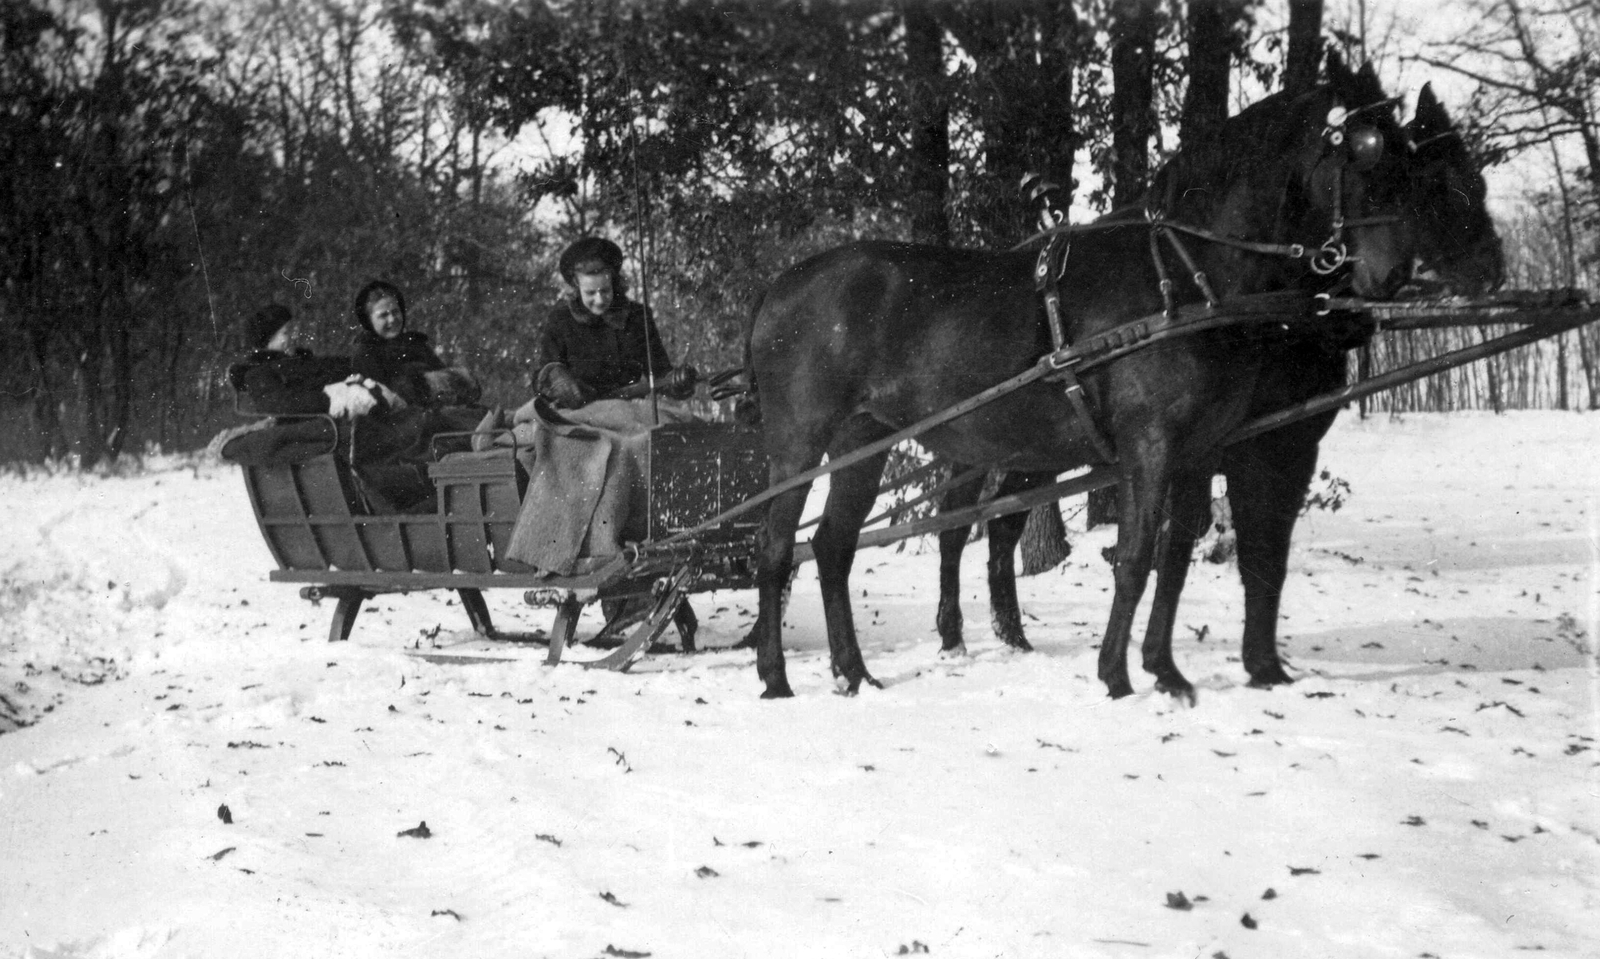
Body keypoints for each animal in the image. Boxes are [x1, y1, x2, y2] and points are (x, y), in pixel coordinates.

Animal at [745, 63, 1427, 701]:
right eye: (1365, 150)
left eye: (1406, 152)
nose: (1395, 274)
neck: (1186, 278)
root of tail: (779, 288)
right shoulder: (1150, 444)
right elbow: (1135, 556)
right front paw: (1116, 676)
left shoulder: (1197, 449)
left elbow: (1174, 561)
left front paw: (1165, 671)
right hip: (800, 443)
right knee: (777, 548)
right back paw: (775, 677)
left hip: (865, 441)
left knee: (832, 547)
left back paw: (854, 673)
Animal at [934, 80, 1504, 682]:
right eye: (1430, 182)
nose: (1491, 268)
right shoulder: (1250, 445)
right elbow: (1234, 547)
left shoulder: (1261, 442)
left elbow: (1250, 552)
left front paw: (1257, 666)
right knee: (955, 527)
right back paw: (955, 635)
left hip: (1029, 449)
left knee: (998, 528)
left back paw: (1010, 634)